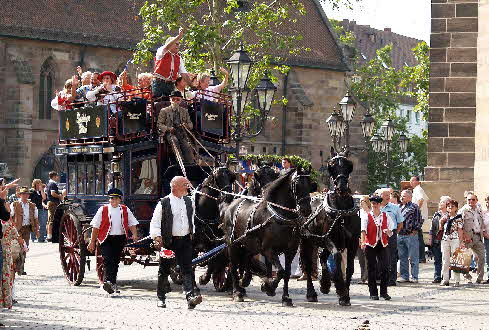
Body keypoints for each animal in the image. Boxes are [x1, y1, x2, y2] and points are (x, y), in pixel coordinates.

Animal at [222, 168, 310, 306]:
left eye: (310, 183)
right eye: (297, 184)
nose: (307, 209)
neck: (279, 217)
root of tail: (230, 205)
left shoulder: (291, 251)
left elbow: (287, 273)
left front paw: (285, 297)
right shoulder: (269, 250)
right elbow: (280, 271)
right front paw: (269, 286)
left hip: (249, 244)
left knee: (246, 260)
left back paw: (244, 281)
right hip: (233, 244)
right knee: (233, 266)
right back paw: (237, 292)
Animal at [300, 148, 360, 306]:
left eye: (349, 164)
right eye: (331, 166)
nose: (342, 187)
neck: (341, 210)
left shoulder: (353, 243)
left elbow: (350, 268)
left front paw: (346, 294)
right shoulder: (329, 239)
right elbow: (337, 258)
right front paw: (341, 290)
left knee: (322, 257)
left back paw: (325, 284)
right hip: (307, 241)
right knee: (308, 265)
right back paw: (311, 293)